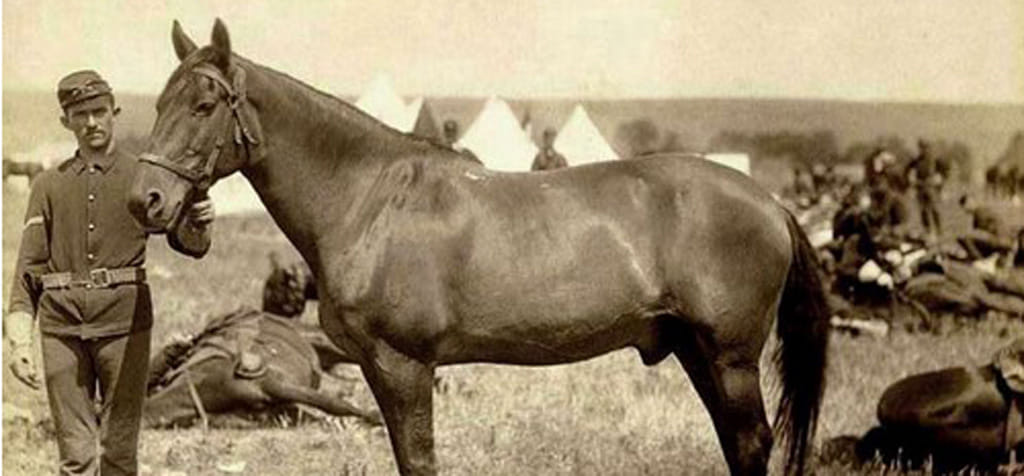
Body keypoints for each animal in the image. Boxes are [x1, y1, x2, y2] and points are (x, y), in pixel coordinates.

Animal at [127, 19, 830, 476]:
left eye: (205, 104)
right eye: (157, 103)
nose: (146, 201)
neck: (370, 199)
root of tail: (770, 203)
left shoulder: (405, 365)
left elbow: (418, 458)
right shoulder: (375, 367)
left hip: (730, 357)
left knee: (751, 443)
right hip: (694, 350)